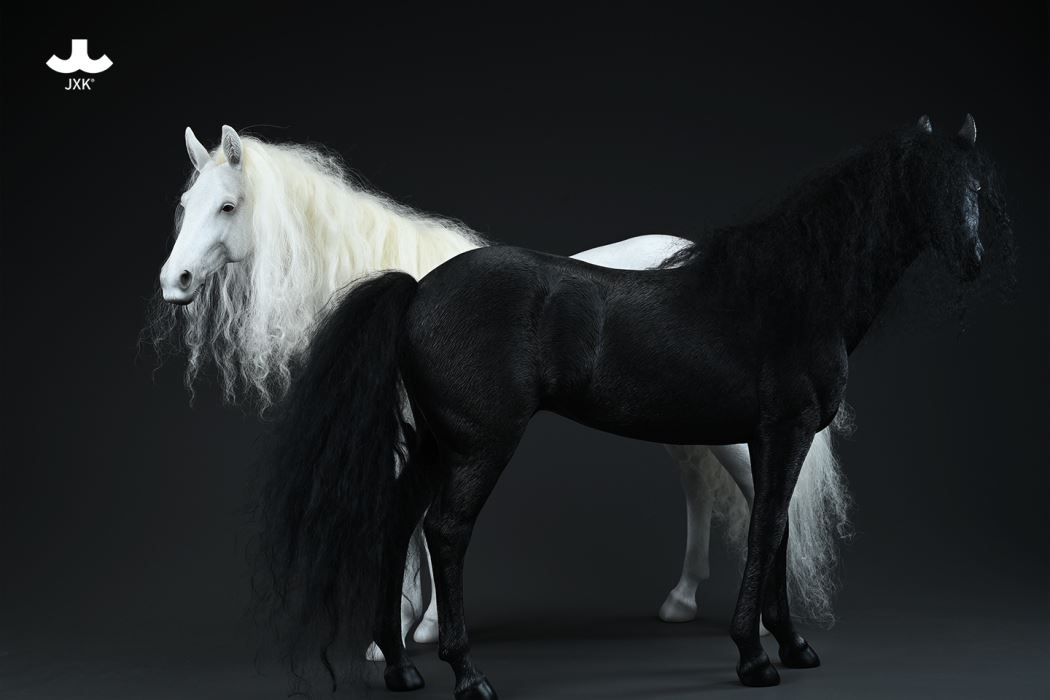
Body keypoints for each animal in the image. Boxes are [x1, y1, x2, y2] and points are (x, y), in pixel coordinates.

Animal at [153, 127, 849, 658]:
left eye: (228, 206)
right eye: (186, 203)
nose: (173, 281)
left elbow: (420, 530)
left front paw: (403, 632)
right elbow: (416, 527)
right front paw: (409, 627)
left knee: (765, 500)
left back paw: (767, 628)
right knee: (703, 492)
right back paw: (681, 601)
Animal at [257, 115, 1011, 695]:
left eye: (978, 187)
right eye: (923, 187)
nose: (973, 258)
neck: (789, 296)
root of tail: (417, 291)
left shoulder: (765, 439)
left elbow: (776, 527)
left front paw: (793, 646)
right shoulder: (784, 431)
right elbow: (768, 529)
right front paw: (755, 657)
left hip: (434, 445)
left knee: (396, 523)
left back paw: (400, 669)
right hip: (476, 448)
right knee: (445, 532)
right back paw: (467, 674)